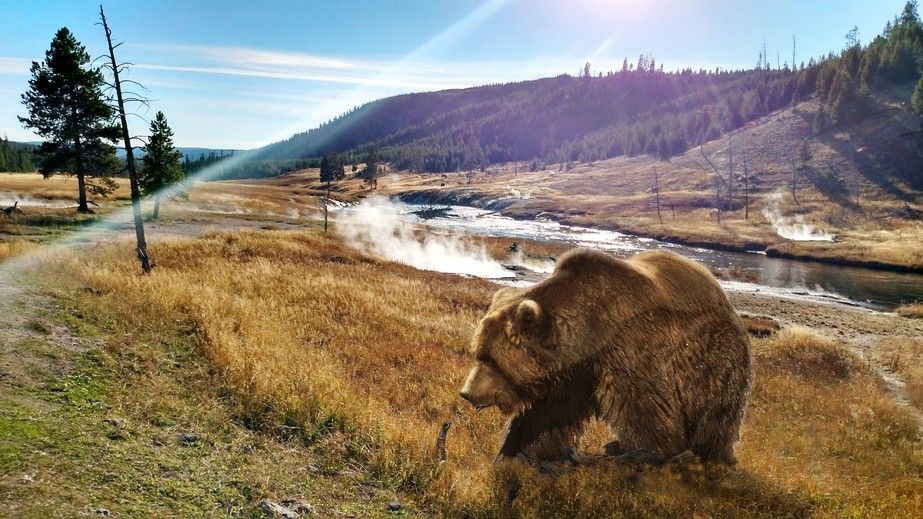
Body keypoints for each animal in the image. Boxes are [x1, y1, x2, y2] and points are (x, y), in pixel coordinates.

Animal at [458, 249, 756, 468]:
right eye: (478, 353)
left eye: (492, 360)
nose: (467, 393)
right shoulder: (574, 371)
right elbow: (547, 415)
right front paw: (515, 450)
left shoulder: (630, 349)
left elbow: (645, 407)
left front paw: (650, 451)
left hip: (716, 354)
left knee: (716, 411)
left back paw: (713, 455)